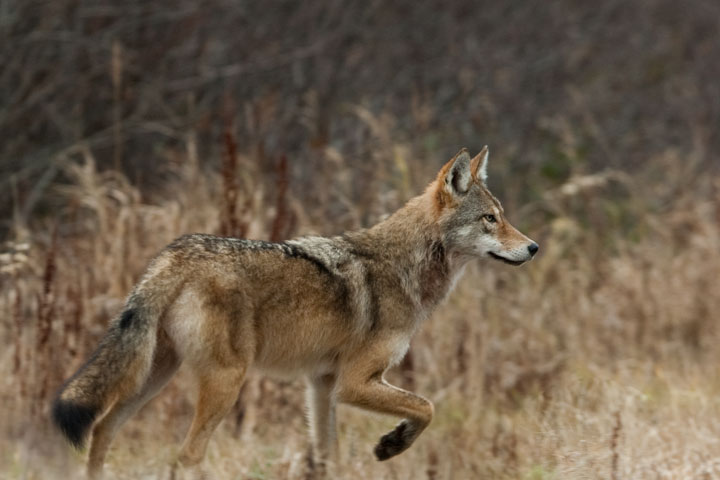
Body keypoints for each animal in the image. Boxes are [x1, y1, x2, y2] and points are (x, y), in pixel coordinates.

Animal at [52, 147, 538, 478]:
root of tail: (175, 254)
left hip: (156, 376)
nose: (533, 247)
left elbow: (328, 459)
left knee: (102, 429)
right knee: (185, 456)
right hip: (224, 383)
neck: (407, 267)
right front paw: (391, 445)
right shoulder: (353, 383)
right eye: (490, 219)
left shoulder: (321, 385)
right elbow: (427, 407)